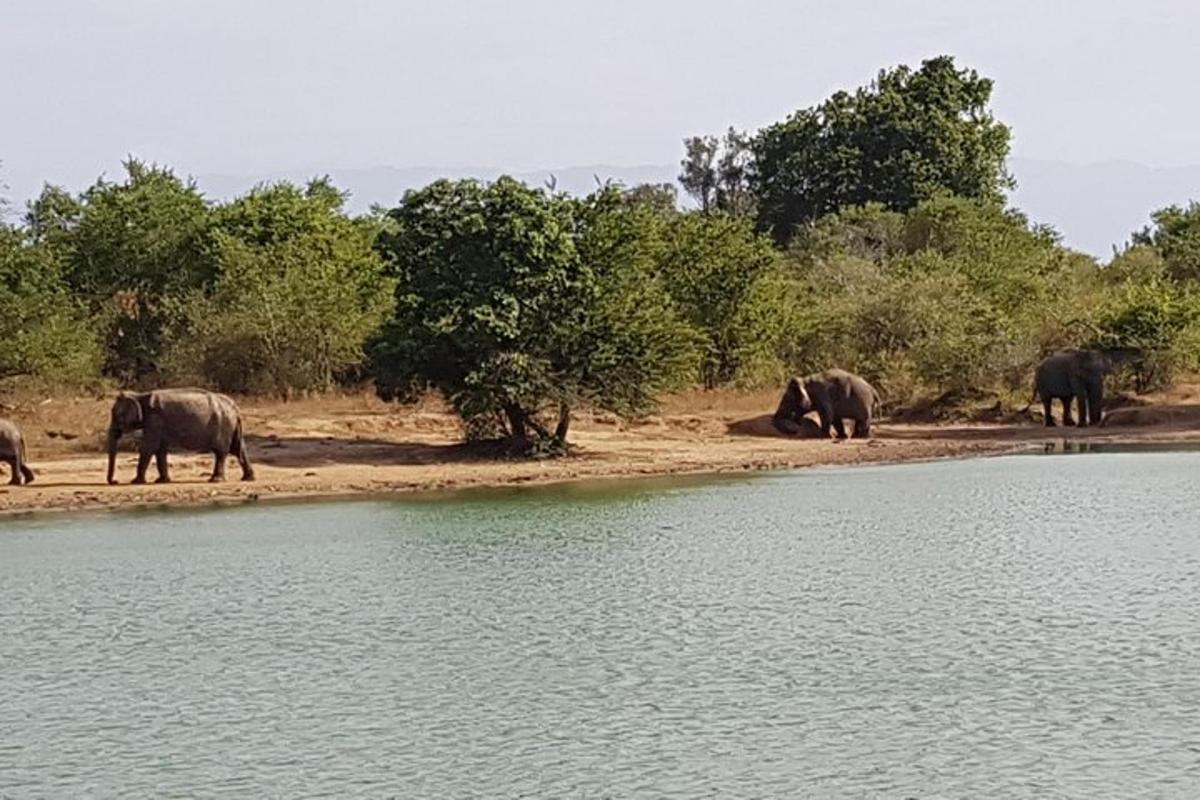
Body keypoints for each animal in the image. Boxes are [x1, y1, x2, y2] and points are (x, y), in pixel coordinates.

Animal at [106, 386, 255, 482]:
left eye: (117, 417)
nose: (115, 481)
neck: (139, 395)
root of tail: (235, 408)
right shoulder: (158, 424)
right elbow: (160, 450)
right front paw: (162, 481)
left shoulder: (155, 421)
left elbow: (149, 447)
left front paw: (136, 481)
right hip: (230, 425)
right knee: (238, 448)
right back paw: (248, 478)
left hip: (223, 425)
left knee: (221, 452)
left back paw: (216, 480)